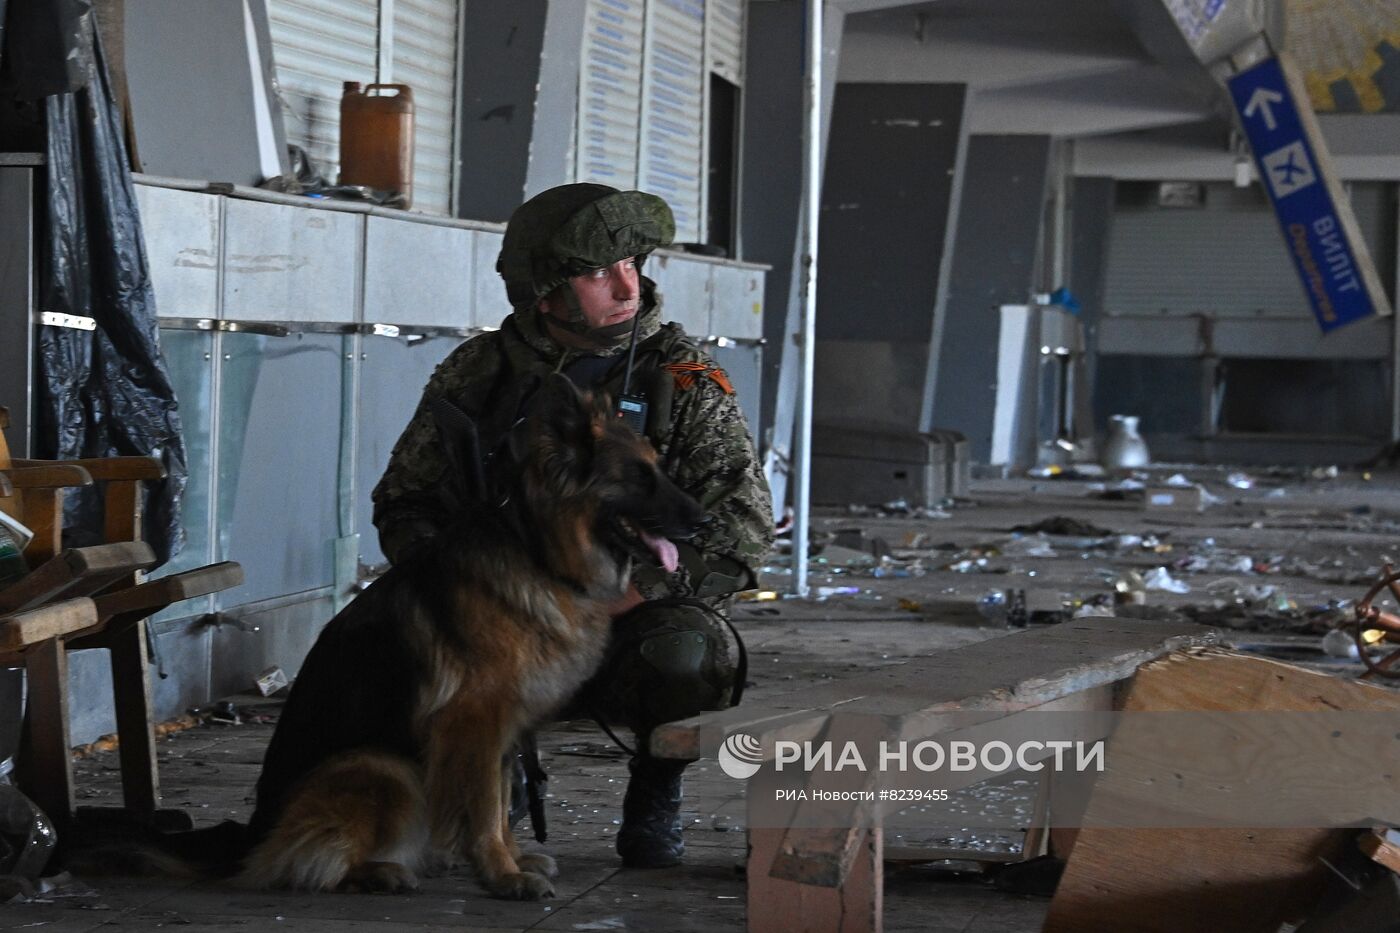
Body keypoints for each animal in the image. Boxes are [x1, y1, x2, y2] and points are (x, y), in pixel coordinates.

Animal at [200, 375, 700, 896]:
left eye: (658, 468)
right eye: (638, 476)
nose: (703, 519)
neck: (535, 552)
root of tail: (249, 837)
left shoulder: (506, 726)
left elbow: (500, 800)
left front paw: (513, 859)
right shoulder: (477, 719)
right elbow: (484, 806)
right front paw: (502, 874)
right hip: (384, 766)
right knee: (308, 861)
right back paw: (380, 872)